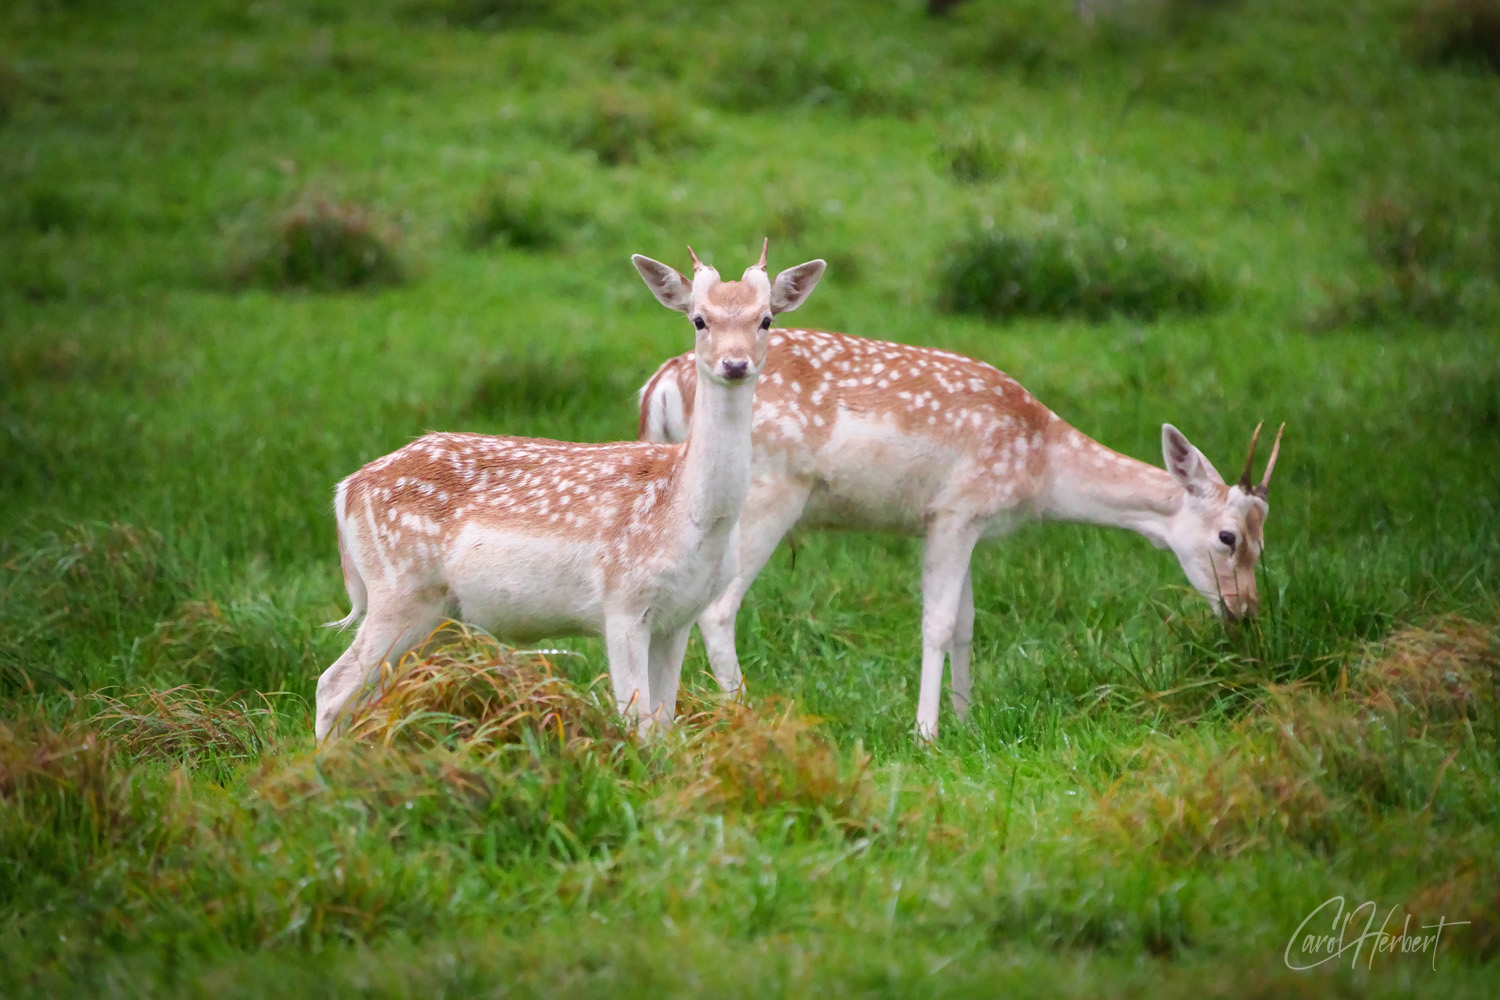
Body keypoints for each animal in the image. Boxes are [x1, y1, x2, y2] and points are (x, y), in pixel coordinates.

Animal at [315, 242, 828, 743]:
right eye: (699, 320)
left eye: (766, 319)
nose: (735, 363)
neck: (689, 514)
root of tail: (345, 491)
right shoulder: (622, 602)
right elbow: (638, 721)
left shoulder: (679, 616)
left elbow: (664, 723)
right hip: (398, 589)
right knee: (332, 686)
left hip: (440, 613)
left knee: (367, 694)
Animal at [639, 332, 1284, 740]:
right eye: (1228, 537)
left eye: (1264, 539)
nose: (1246, 611)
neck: (1043, 468)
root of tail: (662, 387)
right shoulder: (954, 509)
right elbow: (939, 622)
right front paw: (925, 732)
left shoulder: (969, 524)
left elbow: (969, 624)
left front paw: (969, 723)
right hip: (767, 495)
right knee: (718, 608)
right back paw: (745, 718)